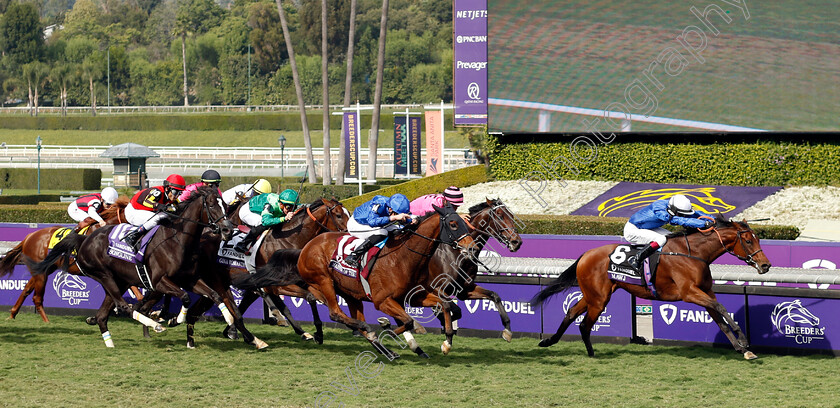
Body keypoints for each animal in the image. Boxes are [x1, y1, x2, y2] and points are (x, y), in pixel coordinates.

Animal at [0, 196, 135, 320]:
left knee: (27, 290)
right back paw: (47, 322)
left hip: (45, 269)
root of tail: (30, 236)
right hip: (41, 272)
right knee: (37, 298)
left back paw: (12, 314)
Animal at [28, 187, 249, 348]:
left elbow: (215, 295)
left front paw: (230, 320)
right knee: (124, 306)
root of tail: (85, 239)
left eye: (226, 205)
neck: (178, 240)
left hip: (118, 281)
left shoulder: (189, 279)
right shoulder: (160, 282)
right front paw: (173, 320)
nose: (228, 229)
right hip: (104, 275)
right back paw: (154, 325)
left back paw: (110, 342)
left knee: (103, 315)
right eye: (211, 205)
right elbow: (185, 297)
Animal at [536, 215, 772, 358]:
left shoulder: (705, 291)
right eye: (748, 241)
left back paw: (549, 342)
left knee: (571, 313)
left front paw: (742, 349)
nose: (765, 265)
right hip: (599, 298)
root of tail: (586, 254)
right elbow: (721, 309)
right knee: (584, 323)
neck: (694, 254)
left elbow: (720, 319)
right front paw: (744, 340)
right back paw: (589, 352)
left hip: (594, 295)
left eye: (758, 239)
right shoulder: (689, 293)